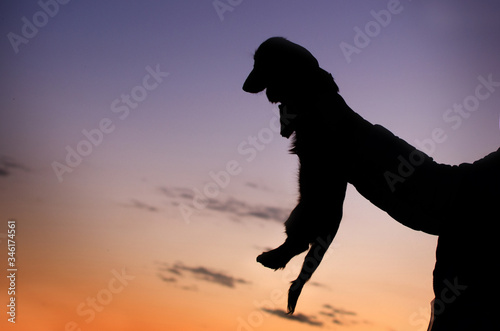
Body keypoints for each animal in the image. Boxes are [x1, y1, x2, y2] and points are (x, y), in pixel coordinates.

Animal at [243, 37, 500, 330]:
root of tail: (333, 224)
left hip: (303, 216)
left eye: (259, 64)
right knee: (297, 247)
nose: (244, 86)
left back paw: (268, 258)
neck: (305, 75)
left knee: (298, 245)